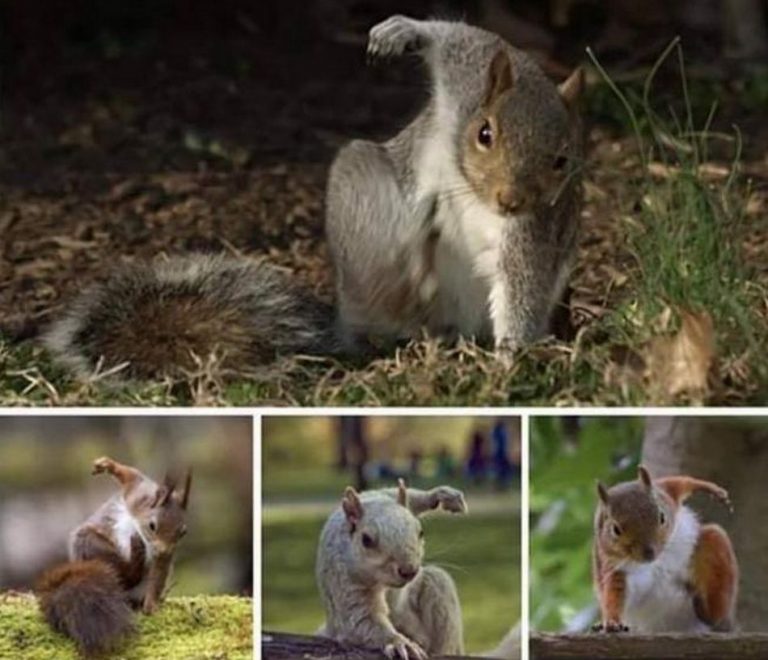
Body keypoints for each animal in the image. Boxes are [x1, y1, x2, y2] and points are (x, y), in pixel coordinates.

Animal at [35, 456, 192, 656]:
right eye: (152, 526)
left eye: (183, 532)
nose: (163, 550)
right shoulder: (136, 493)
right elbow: (130, 475)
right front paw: (107, 465)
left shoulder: (162, 558)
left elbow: (157, 576)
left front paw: (151, 605)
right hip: (89, 543)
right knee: (121, 570)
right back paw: (132, 560)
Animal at [43, 15, 584, 378]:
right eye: (484, 133)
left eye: (562, 160)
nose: (510, 199)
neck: (471, 185)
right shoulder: (467, 76)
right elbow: (454, 37)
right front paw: (400, 31)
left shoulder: (534, 229)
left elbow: (523, 284)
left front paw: (511, 358)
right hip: (359, 188)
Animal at [592, 464, 736, 636]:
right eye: (615, 530)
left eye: (662, 517)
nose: (649, 552)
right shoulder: (614, 567)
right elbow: (613, 595)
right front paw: (612, 622)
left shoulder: (666, 493)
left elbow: (680, 482)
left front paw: (712, 489)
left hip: (714, 544)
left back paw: (708, 610)